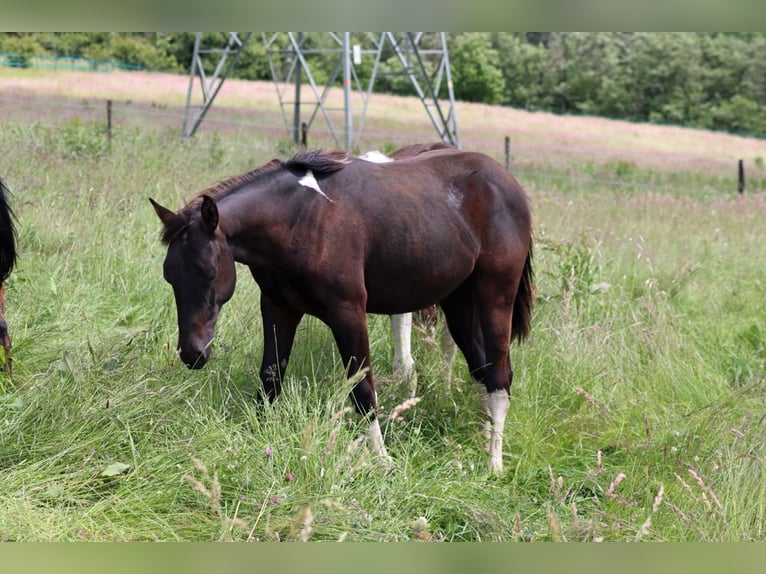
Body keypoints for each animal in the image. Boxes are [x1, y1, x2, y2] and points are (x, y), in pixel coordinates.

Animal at [150, 146, 534, 473]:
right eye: (169, 275)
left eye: (209, 271)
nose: (192, 353)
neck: (302, 218)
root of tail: (508, 184)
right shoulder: (277, 308)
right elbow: (271, 377)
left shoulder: (348, 313)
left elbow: (363, 390)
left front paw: (383, 461)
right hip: (458, 305)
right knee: (484, 370)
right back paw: (483, 440)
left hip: (495, 298)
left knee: (500, 375)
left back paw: (494, 464)